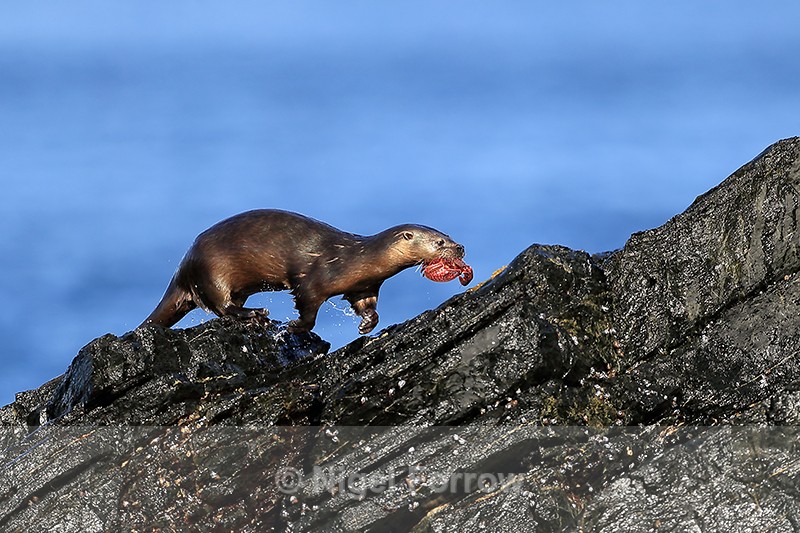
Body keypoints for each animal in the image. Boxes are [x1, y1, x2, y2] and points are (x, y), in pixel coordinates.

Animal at [139, 209, 469, 334]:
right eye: (440, 242)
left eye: (449, 235)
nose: (461, 248)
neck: (355, 258)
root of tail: (184, 264)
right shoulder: (313, 279)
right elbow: (308, 308)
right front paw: (294, 325)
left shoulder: (364, 286)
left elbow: (368, 306)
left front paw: (367, 325)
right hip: (211, 270)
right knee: (222, 305)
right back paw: (255, 314)